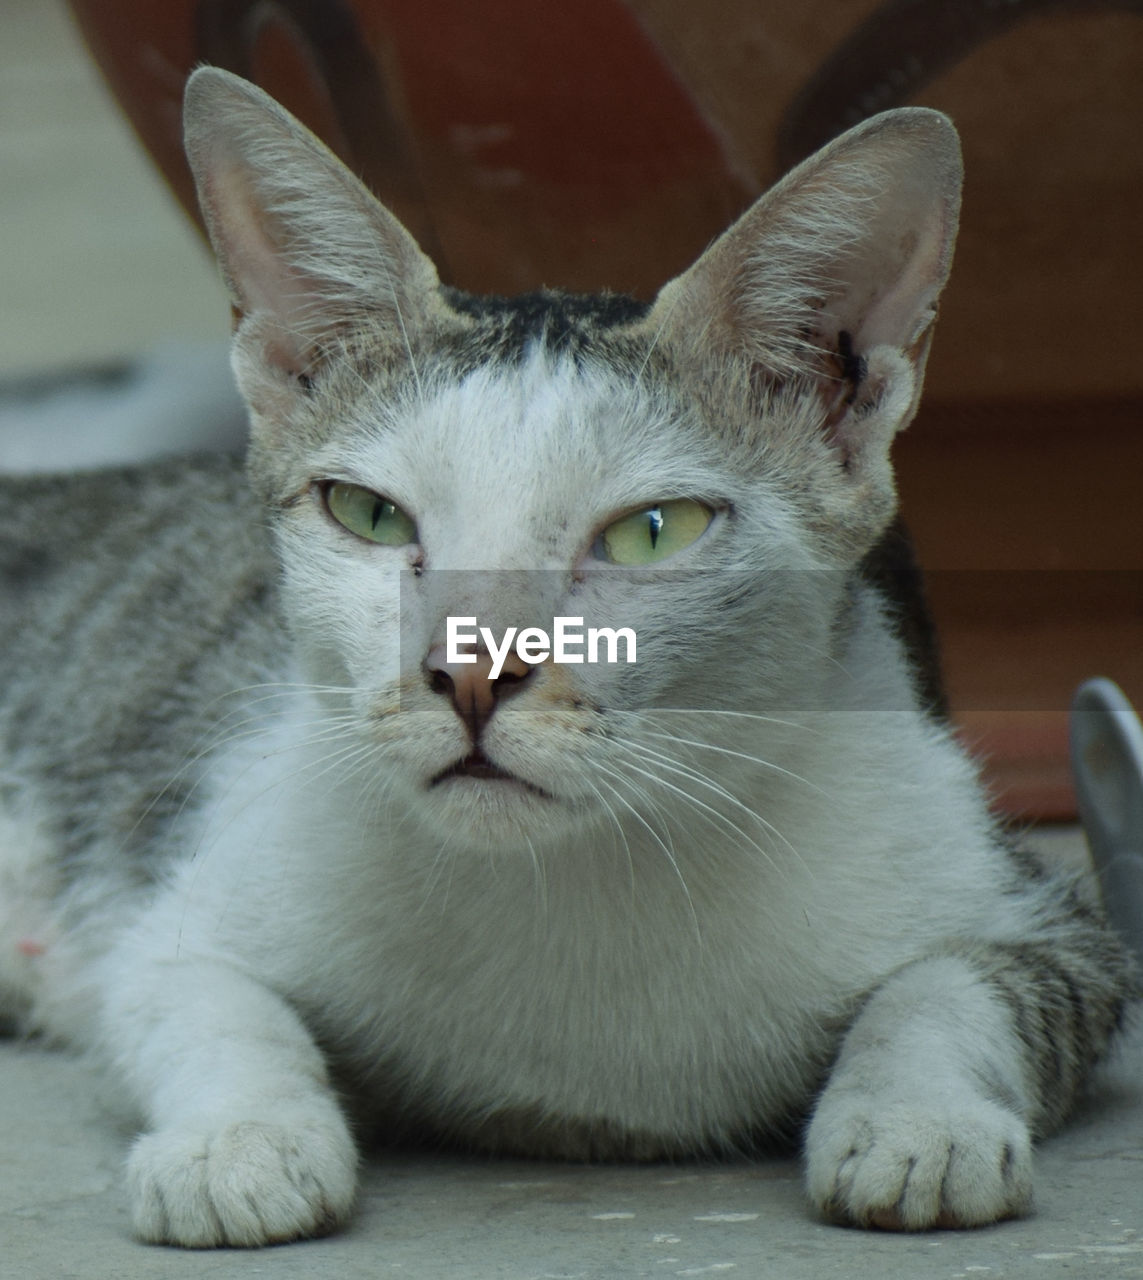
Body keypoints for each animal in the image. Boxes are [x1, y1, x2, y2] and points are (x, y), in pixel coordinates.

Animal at [0, 64, 1126, 1244]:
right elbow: (204, 1006)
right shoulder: (182, 907)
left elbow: (948, 988)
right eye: (369, 515)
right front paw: (240, 1139)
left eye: (653, 532)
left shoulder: (1054, 925)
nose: (468, 670)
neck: (570, 881)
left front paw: (919, 1123)